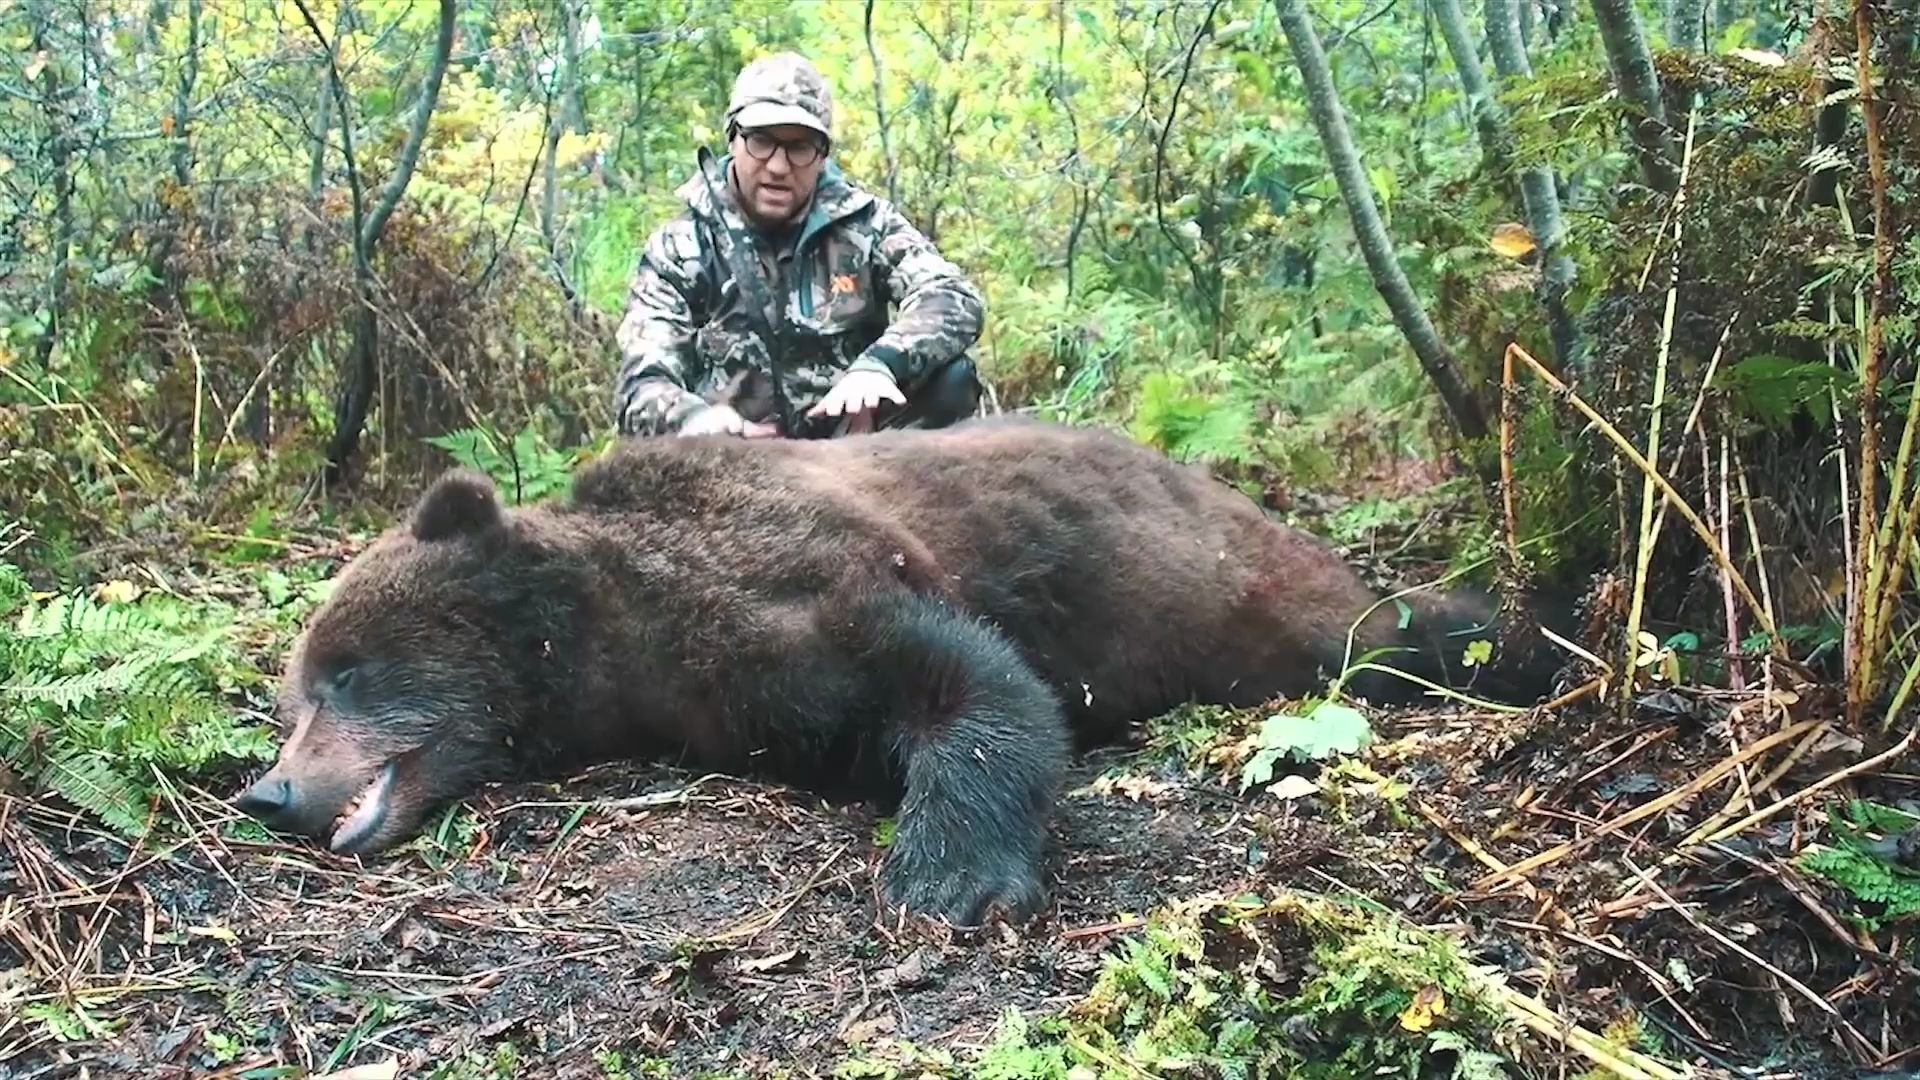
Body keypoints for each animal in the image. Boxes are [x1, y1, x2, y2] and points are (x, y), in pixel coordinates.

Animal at [232, 417, 1566, 922]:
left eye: (347, 671)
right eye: (293, 699)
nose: (270, 794)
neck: (621, 626)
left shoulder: (793, 578)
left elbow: (980, 687)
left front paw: (946, 875)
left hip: (1245, 588)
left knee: (1390, 630)